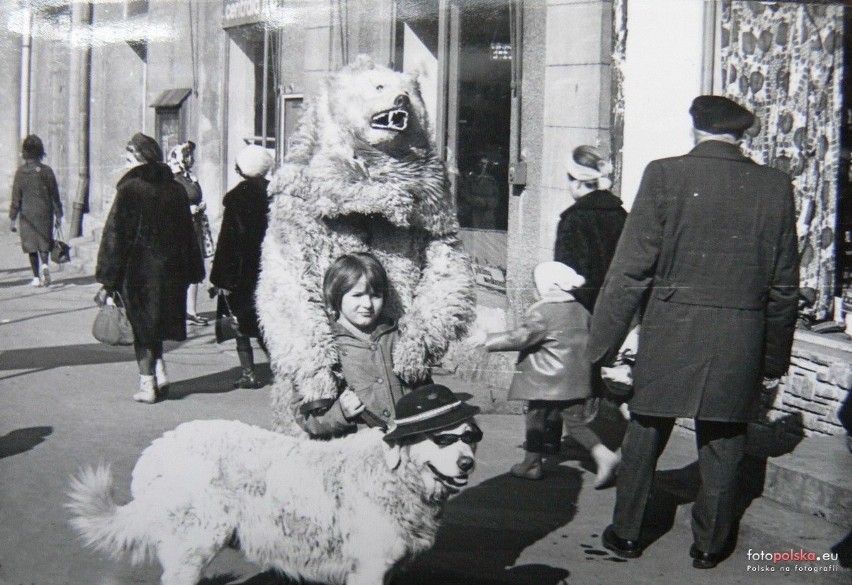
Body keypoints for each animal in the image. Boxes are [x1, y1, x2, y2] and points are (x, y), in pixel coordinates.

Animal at [66, 416, 480, 584]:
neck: (391, 473)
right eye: (442, 438)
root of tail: (154, 452)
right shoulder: (369, 570)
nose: (467, 463)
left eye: (470, 437)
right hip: (196, 543)